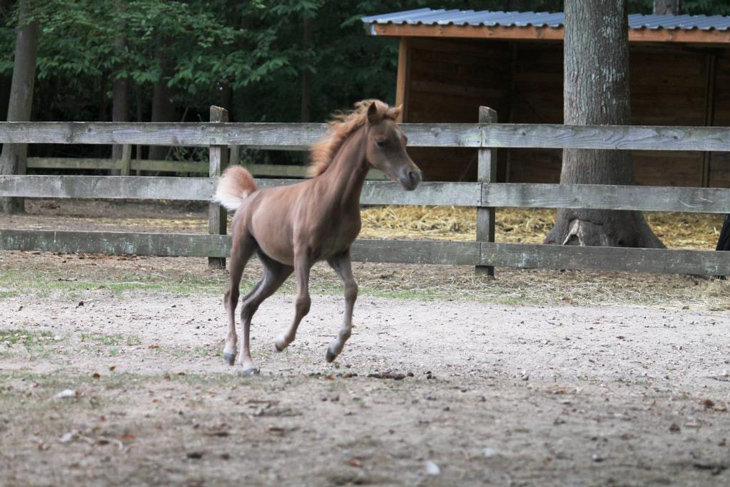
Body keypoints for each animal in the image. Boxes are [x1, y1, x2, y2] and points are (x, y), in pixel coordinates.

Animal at [213, 101, 420, 376]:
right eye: (381, 141)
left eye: (404, 139)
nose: (413, 176)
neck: (334, 199)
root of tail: (249, 198)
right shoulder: (303, 253)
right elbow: (303, 302)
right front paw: (281, 342)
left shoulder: (339, 254)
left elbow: (351, 290)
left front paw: (333, 349)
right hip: (241, 249)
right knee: (232, 296)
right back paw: (230, 352)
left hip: (278, 269)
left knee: (248, 305)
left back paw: (248, 363)